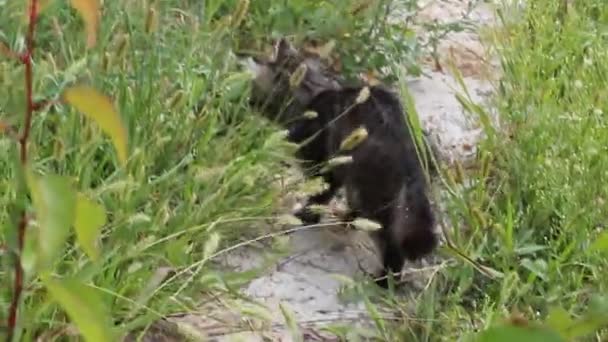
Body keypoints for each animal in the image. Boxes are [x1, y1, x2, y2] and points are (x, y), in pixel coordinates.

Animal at [242, 38, 436, 288]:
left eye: (254, 89)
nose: (247, 102)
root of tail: (410, 160)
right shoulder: (335, 168)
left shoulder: (322, 162)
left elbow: (319, 195)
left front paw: (304, 216)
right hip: (361, 187)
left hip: (372, 196)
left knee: (391, 243)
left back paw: (385, 279)